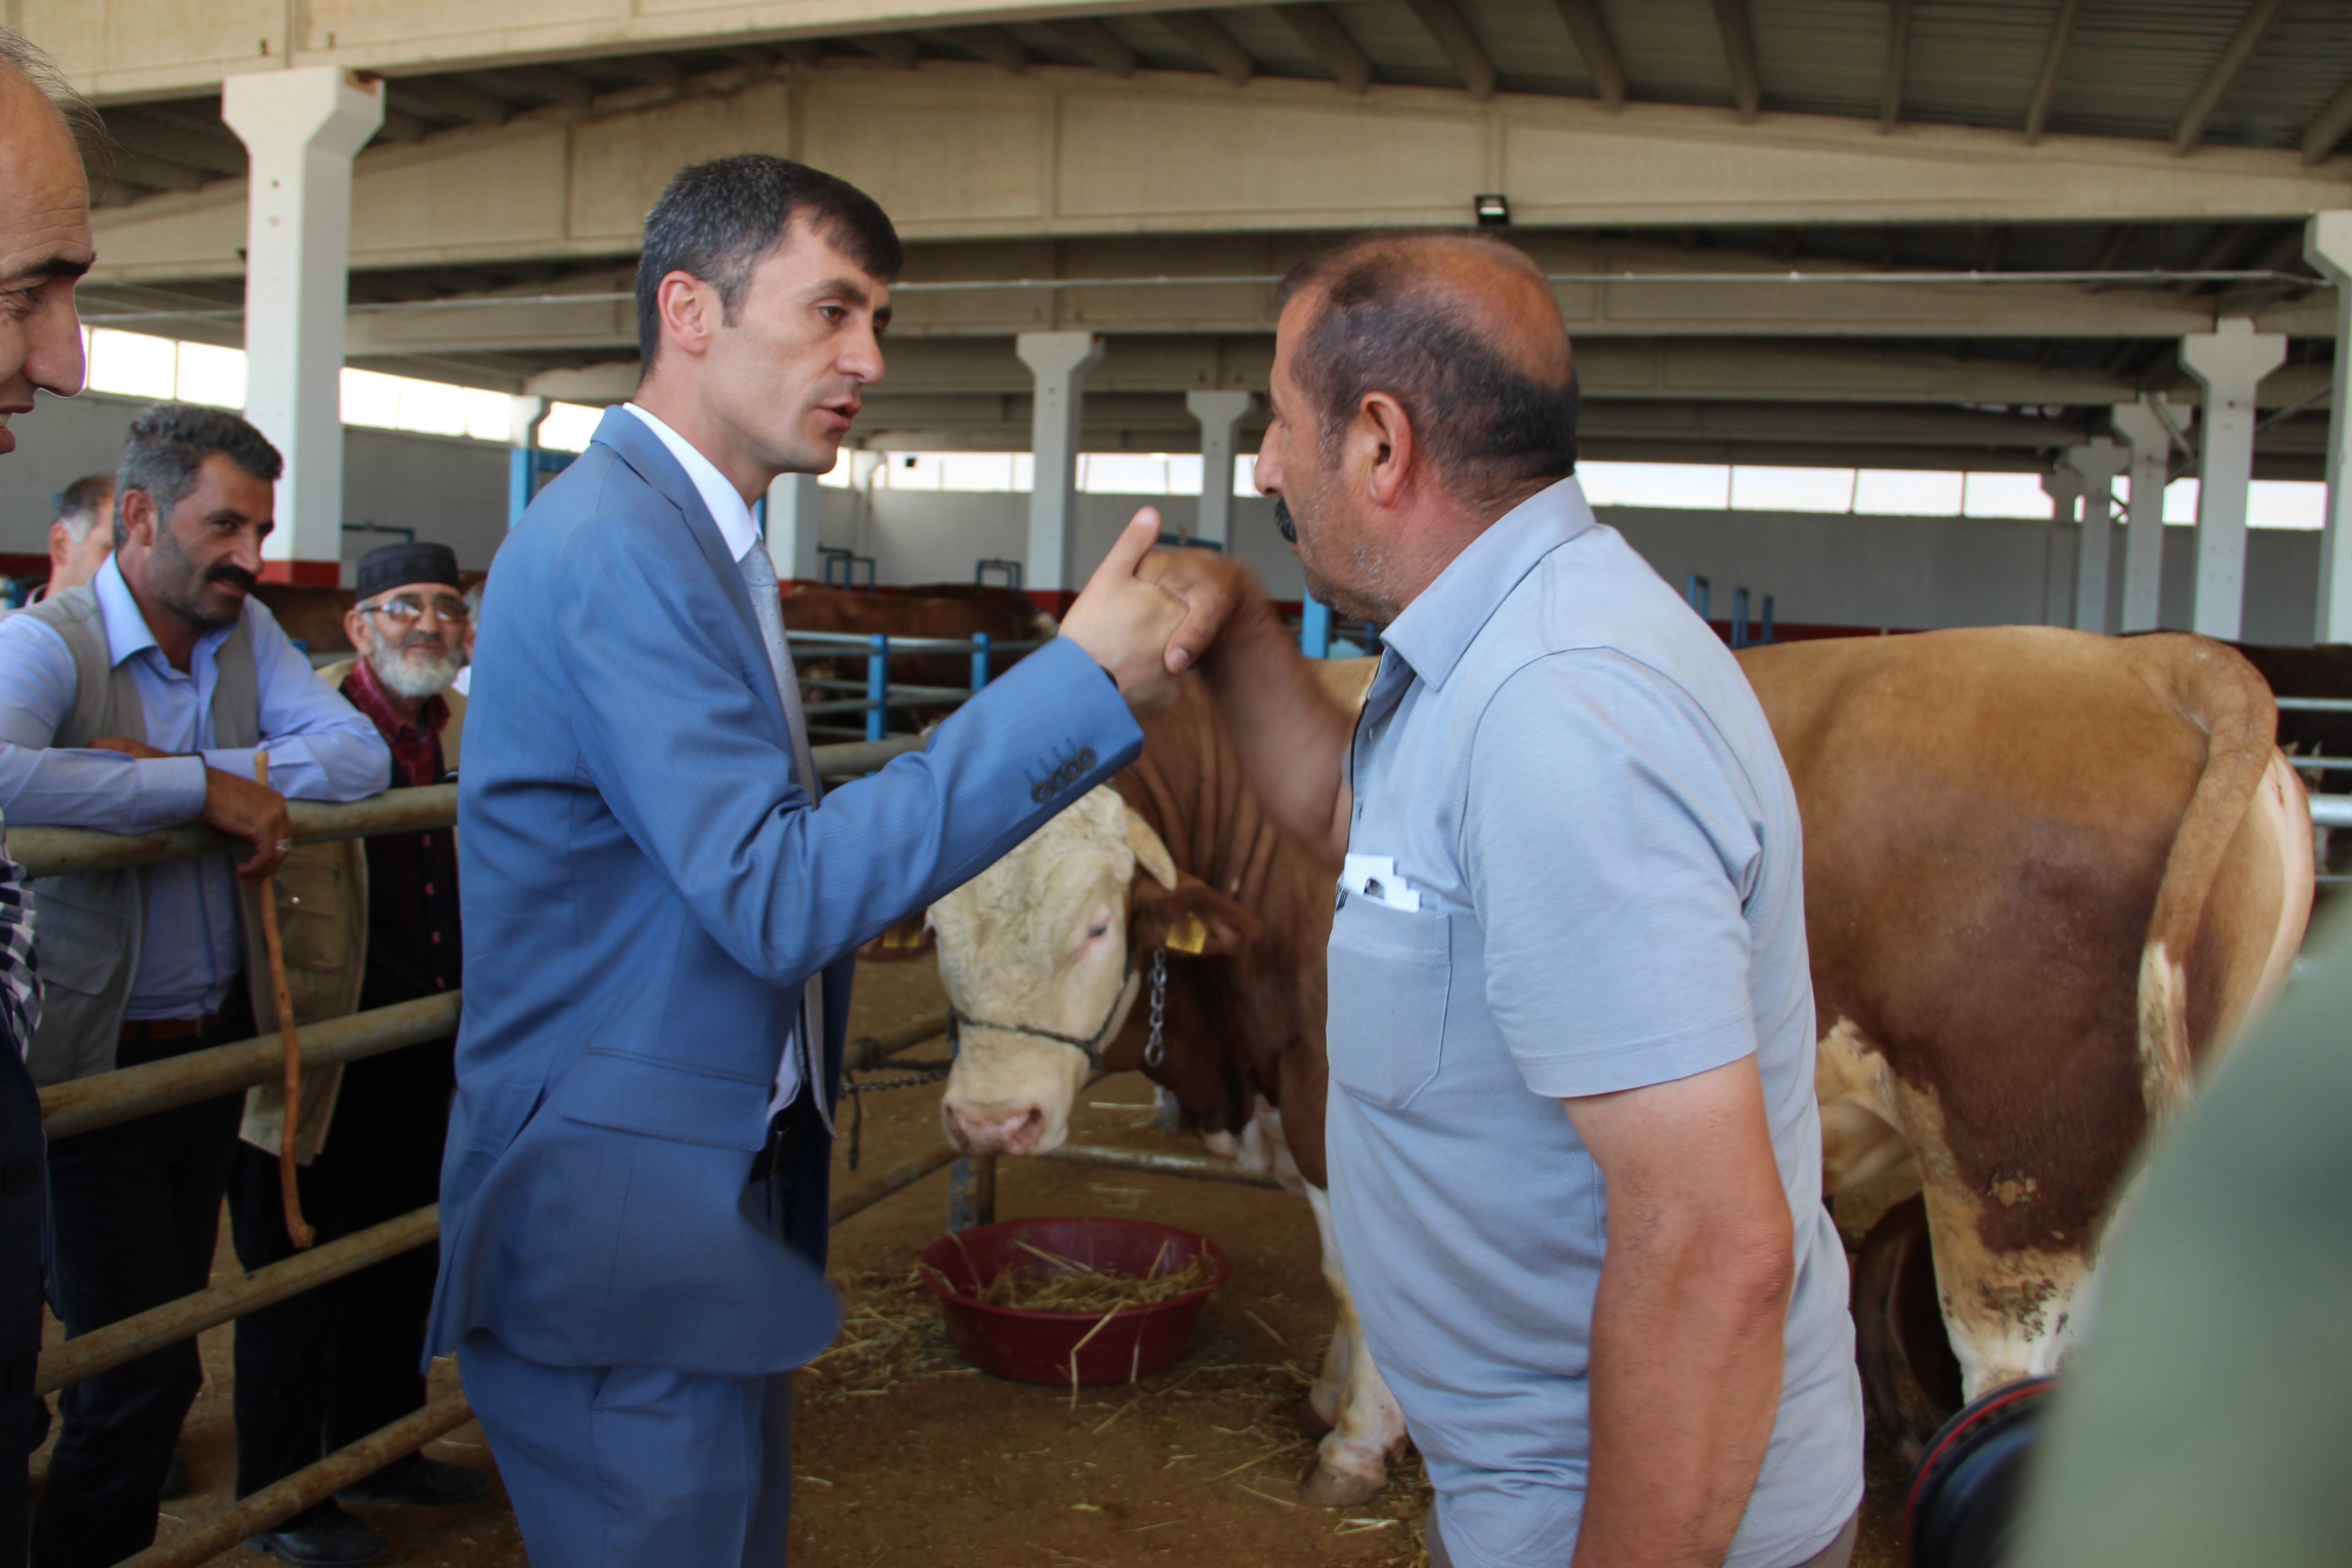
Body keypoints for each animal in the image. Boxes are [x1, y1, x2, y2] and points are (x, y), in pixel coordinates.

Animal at [903, 625, 2314, 1504]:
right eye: (935, 921)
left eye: (1099, 923)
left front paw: (1355, 1442)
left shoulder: (1333, 1095)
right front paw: (1337, 1401)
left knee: (2006, 1371)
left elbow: (1360, 1273)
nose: (986, 1124)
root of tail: (2157, 663)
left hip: (2009, 1175)